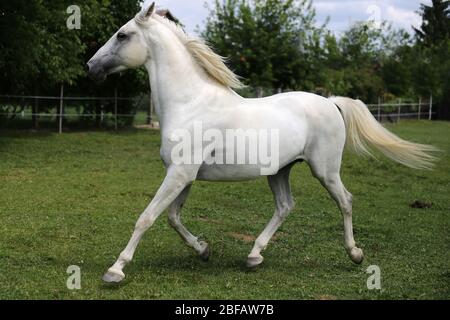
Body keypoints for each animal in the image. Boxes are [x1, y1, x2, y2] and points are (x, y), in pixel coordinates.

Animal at [87, 2, 436, 282]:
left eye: (122, 35)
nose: (91, 66)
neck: (190, 103)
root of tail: (332, 102)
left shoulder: (179, 174)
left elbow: (146, 217)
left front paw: (116, 270)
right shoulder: (182, 175)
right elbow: (173, 218)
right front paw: (203, 249)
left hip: (324, 170)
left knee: (345, 201)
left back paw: (355, 254)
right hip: (280, 171)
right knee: (285, 206)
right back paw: (254, 255)